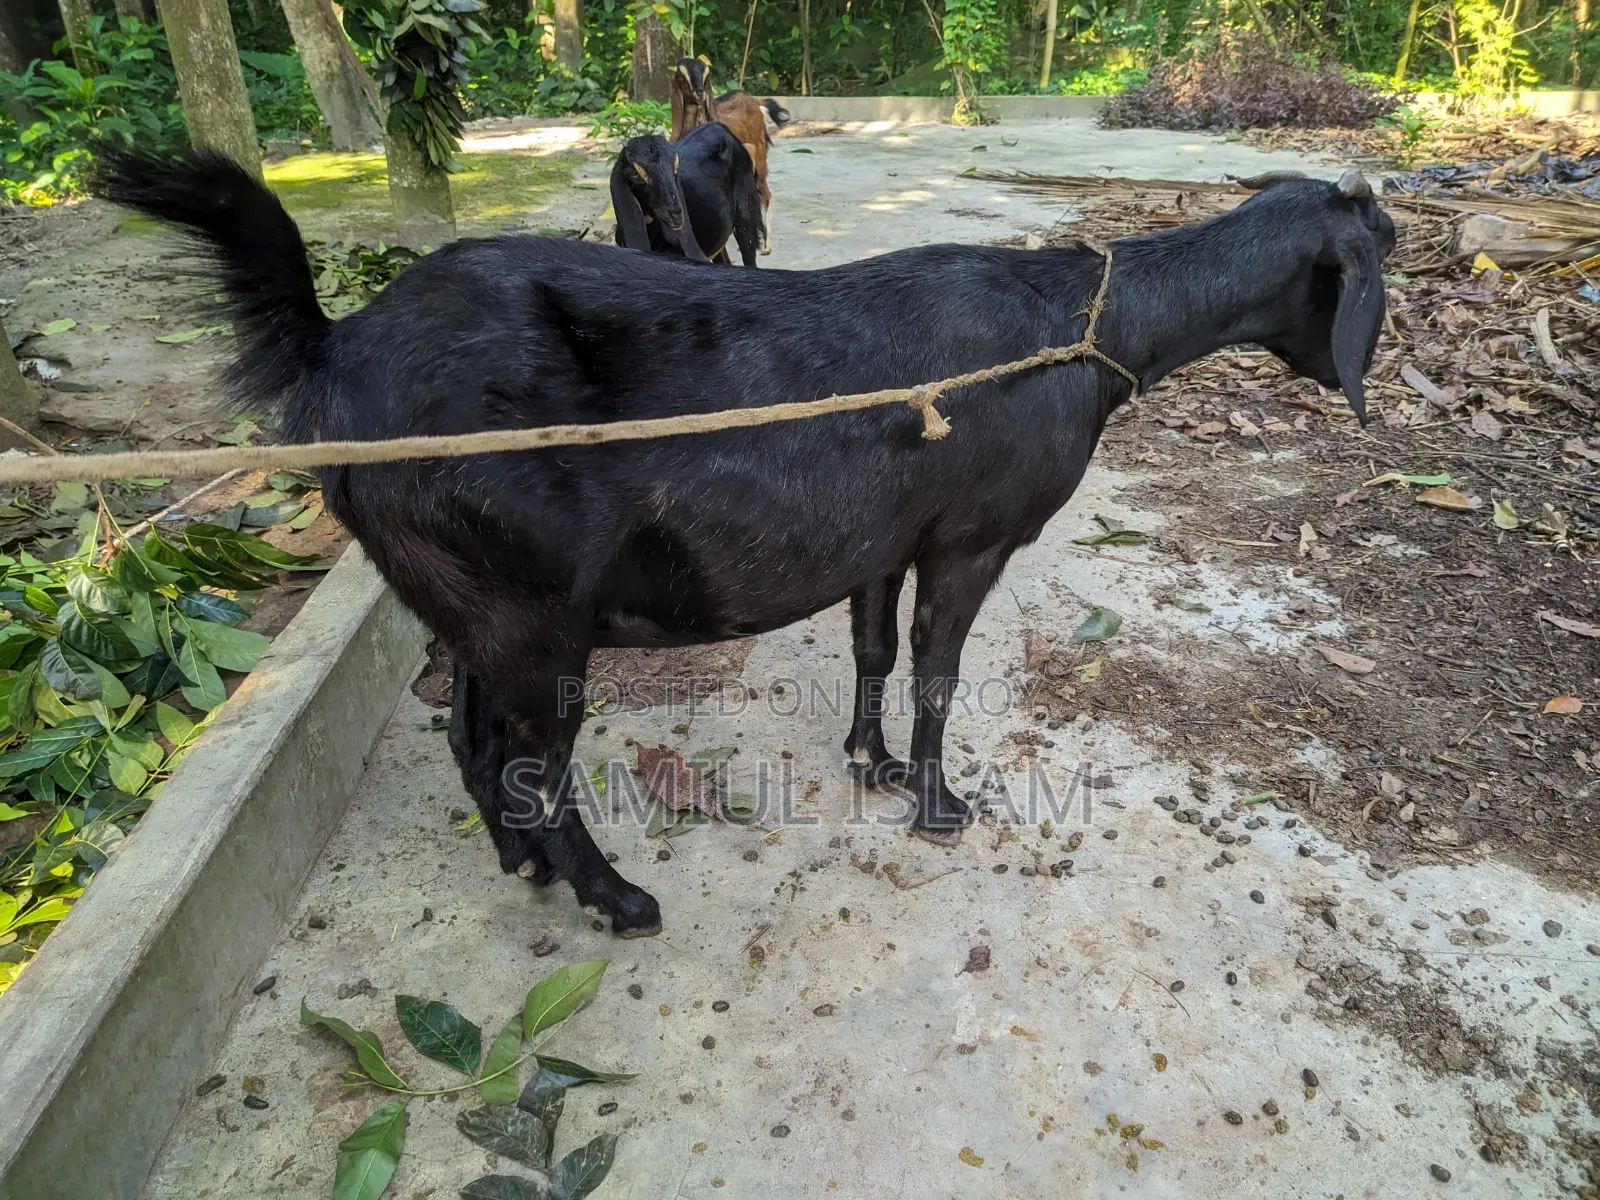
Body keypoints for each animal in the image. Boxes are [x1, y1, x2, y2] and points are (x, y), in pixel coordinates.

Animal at [94, 152, 1393, 939]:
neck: (1079, 328)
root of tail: (333, 349)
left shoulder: (887, 534)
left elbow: (873, 650)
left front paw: (869, 763)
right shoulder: (974, 536)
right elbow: (938, 670)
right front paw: (938, 802)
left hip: (466, 589)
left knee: (470, 735)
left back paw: (526, 868)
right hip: (529, 605)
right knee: (528, 758)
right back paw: (616, 899)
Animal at [670, 56, 789, 254]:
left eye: (706, 76)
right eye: (682, 77)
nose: (699, 93)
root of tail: (755, 101)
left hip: (759, 156)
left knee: (766, 194)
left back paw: (766, 245)